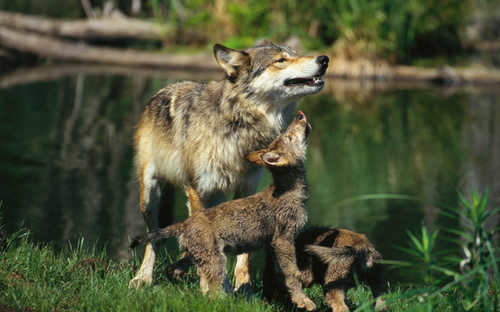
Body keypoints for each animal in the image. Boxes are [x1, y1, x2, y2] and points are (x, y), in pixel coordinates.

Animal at [130, 41, 328, 290]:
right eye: (281, 60)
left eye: (296, 54)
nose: (324, 59)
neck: (238, 124)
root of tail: (161, 92)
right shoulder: (197, 189)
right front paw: (208, 285)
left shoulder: (247, 188)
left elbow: (245, 251)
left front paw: (244, 285)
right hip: (149, 194)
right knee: (152, 239)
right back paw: (143, 277)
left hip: (216, 198)